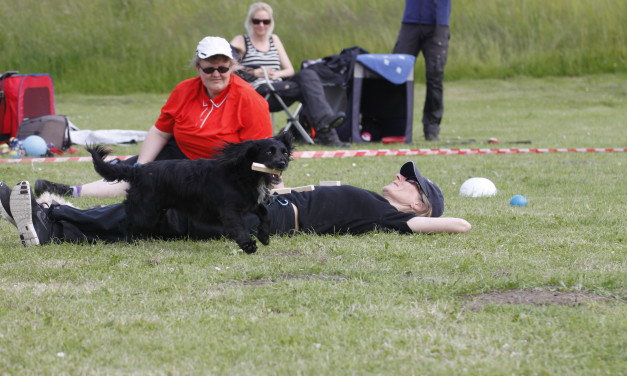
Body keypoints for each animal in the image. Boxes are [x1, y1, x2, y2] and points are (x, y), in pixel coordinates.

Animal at [84, 131, 296, 253]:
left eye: (284, 151)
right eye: (268, 152)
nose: (282, 163)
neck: (243, 172)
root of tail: (138, 170)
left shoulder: (250, 202)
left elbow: (266, 213)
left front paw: (264, 236)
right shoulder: (229, 210)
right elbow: (240, 228)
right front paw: (249, 246)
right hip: (145, 210)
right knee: (125, 223)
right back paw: (130, 243)